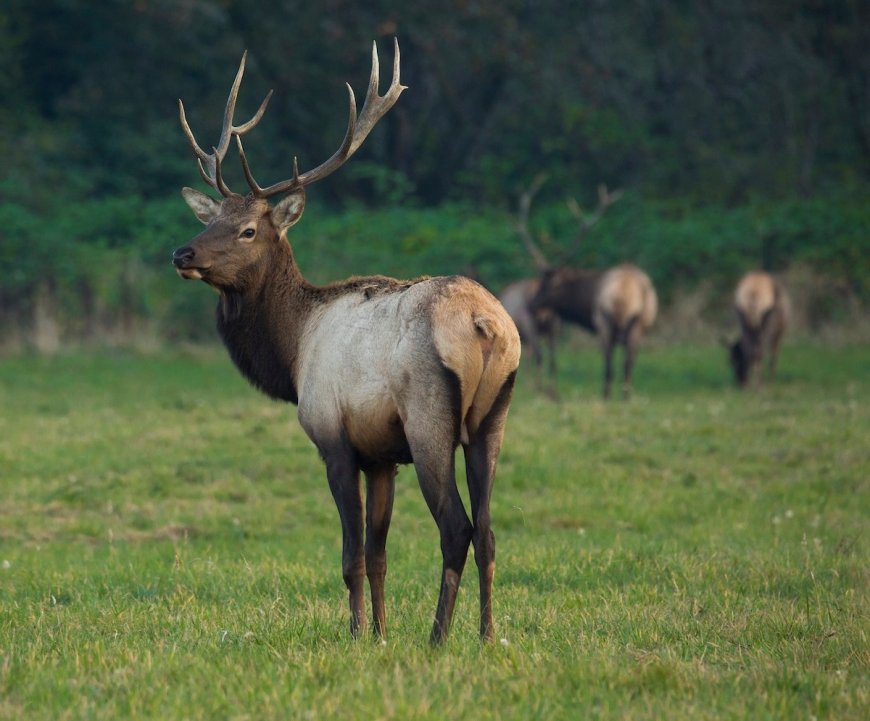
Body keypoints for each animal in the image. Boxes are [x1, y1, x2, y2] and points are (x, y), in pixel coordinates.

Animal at [170, 41, 521, 644]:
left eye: (248, 230)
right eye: (212, 218)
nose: (182, 254)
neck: (292, 352)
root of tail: (485, 324)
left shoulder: (334, 438)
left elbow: (350, 556)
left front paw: (356, 634)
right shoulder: (381, 456)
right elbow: (379, 556)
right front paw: (380, 632)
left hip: (429, 419)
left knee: (457, 527)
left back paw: (438, 636)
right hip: (490, 420)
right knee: (490, 531)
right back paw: (485, 633)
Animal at [514, 177, 658, 399]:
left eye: (551, 284)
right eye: (542, 280)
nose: (532, 305)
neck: (585, 301)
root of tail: (631, 290)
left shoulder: (598, 322)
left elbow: (608, 362)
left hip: (607, 321)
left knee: (610, 363)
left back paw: (607, 396)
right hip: (639, 324)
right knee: (628, 363)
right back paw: (626, 397)